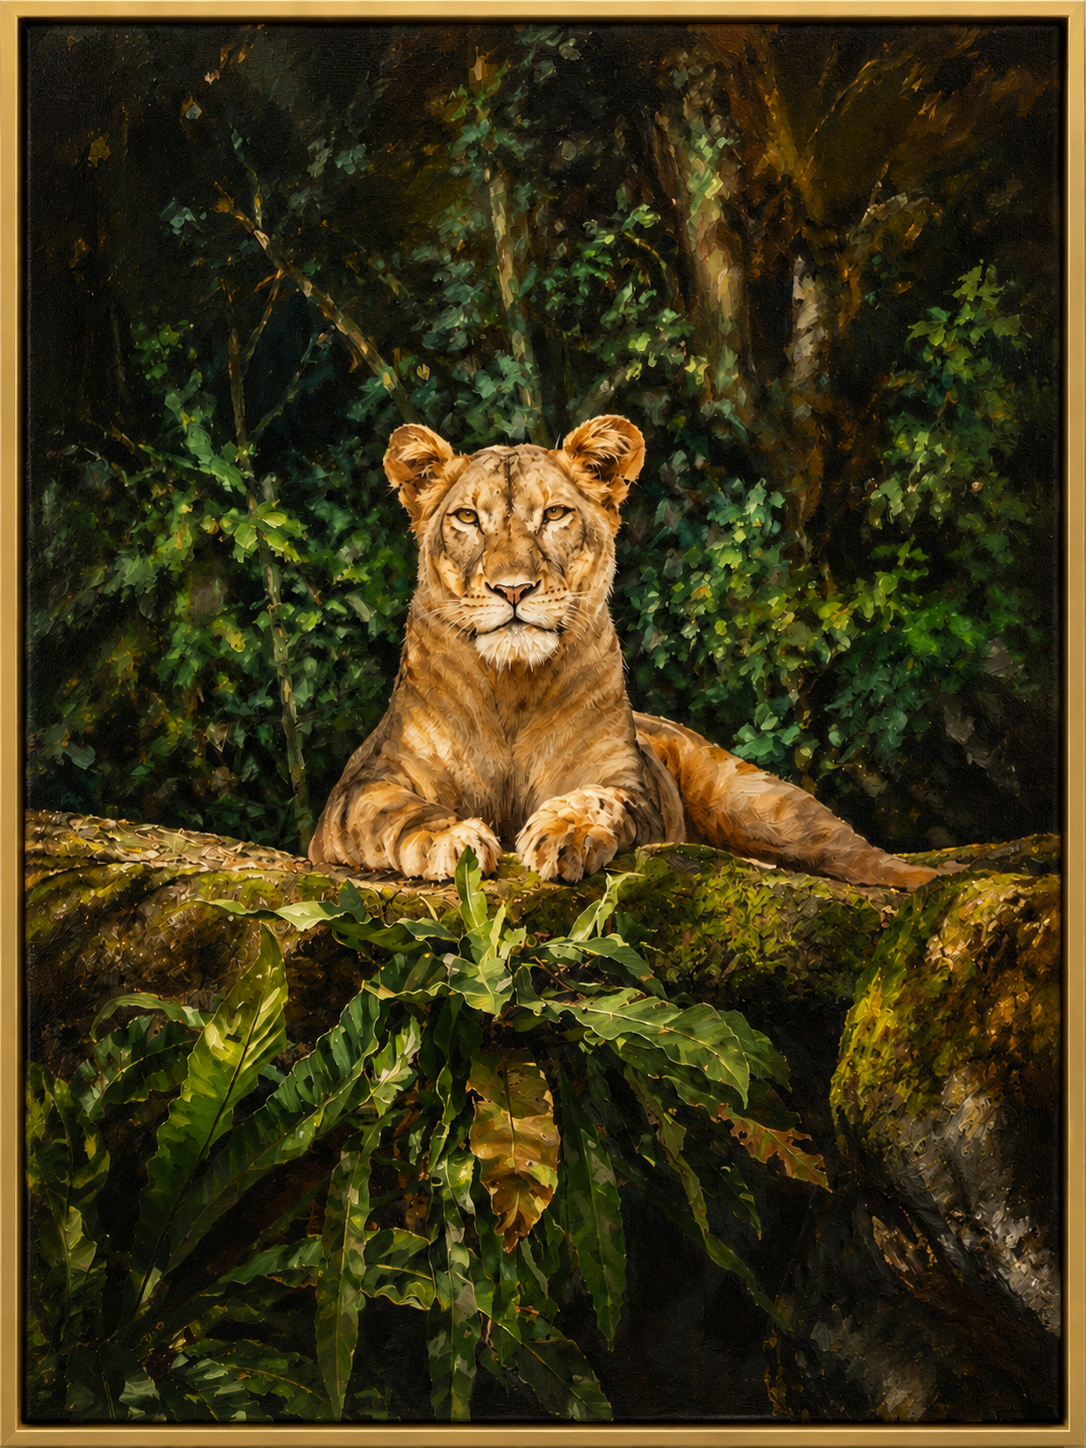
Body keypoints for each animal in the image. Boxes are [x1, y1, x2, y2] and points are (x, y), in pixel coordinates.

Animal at [309, 415, 949, 891]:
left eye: (555, 514)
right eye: (467, 517)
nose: (513, 589)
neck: (512, 689)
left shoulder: (630, 782)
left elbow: (602, 801)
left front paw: (565, 832)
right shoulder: (357, 790)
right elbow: (395, 811)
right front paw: (453, 840)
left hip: (762, 804)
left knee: (865, 858)